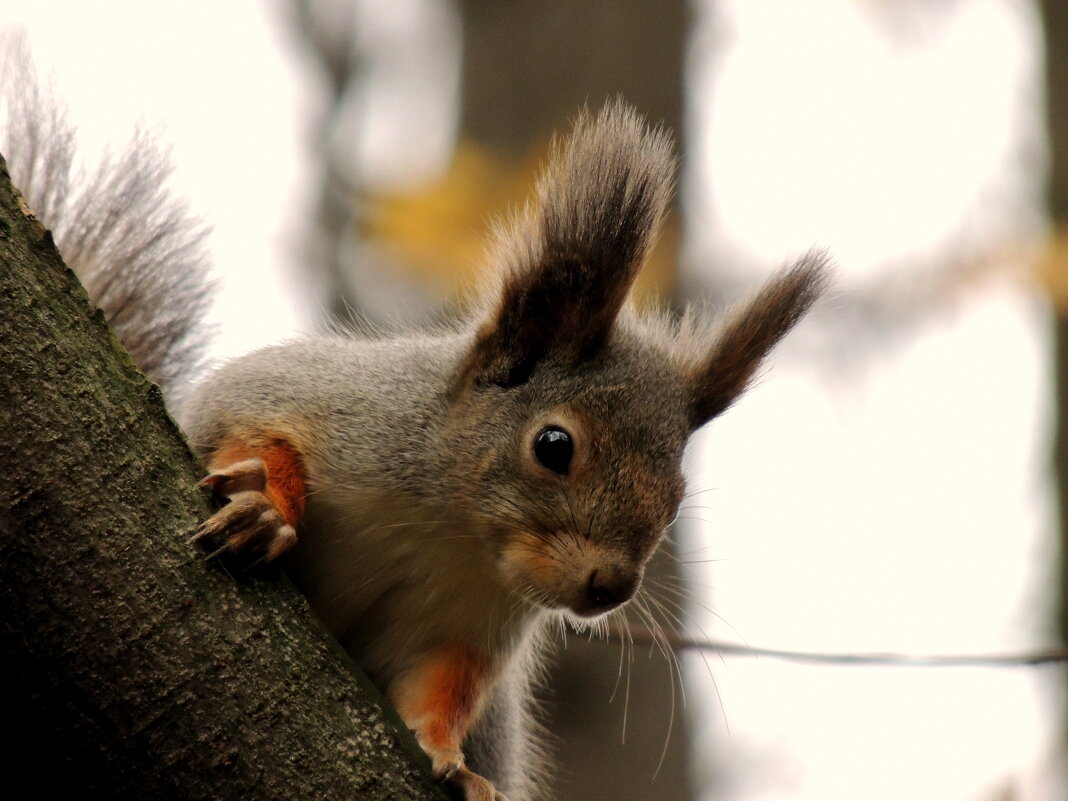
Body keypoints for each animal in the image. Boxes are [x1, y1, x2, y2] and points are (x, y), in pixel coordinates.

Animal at [4, 62, 828, 801]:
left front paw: (452, 760)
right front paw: (265, 502)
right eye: (554, 446)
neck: (451, 525)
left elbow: (441, 687)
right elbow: (244, 426)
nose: (610, 587)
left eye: (678, 493)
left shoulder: (468, 623)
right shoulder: (312, 399)